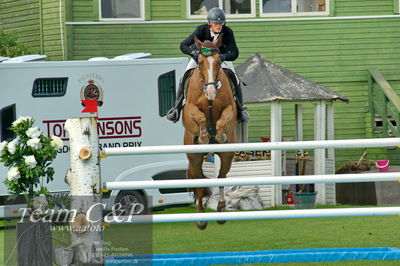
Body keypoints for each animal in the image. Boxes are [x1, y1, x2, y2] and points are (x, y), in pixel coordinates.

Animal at [181, 35, 238, 231]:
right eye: (199, 61)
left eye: (219, 61)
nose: (211, 91)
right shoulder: (190, 108)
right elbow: (198, 115)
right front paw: (205, 135)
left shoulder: (230, 108)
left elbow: (225, 117)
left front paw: (219, 135)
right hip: (194, 157)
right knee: (199, 181)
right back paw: (201, 218)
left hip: (227, 156)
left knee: (221, 177)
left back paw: (220, 211)